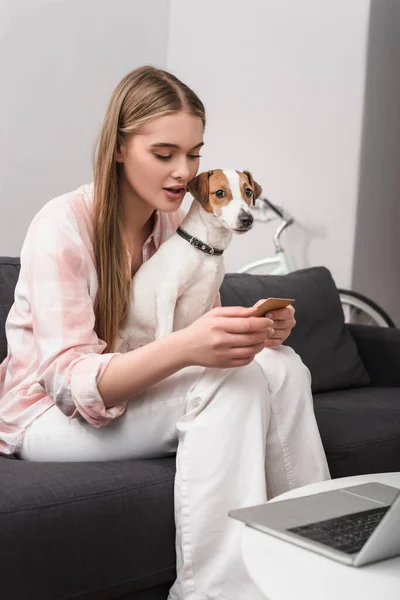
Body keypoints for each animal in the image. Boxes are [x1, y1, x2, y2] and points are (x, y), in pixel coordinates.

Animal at [115, 169, 262, 352]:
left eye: (248, 191)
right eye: (220, 193)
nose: (247, 219)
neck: (205, 247)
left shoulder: (209, 301)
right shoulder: (167, 292)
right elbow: (165, 332)